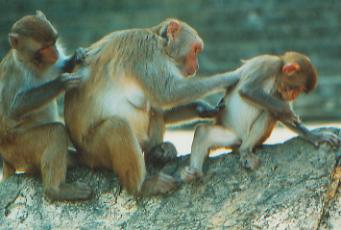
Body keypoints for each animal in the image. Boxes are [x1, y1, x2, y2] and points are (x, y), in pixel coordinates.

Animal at [0, 11, 91, 201]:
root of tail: (6, 159)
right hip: (19, 147)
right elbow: (13, 108)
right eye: (42, 49)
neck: (30, 63)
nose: (55, 52)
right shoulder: (15, 72)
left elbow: (60, 66)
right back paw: (56, 190)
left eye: (53, 42)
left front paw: (76, 56)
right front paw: (62, 82)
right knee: (56, 132)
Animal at [64, 18, 239, 197]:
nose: (196, 66)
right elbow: (168, 93)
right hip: (95, 151)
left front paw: (202, 108)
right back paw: (141, 186)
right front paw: (231, 76)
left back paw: (156, 153)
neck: (161, 44)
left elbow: (161, 103)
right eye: (195, 50)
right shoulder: (146, 51)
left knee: (154, 111)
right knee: (117, 126)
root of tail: (82, 155)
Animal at [182, 51, 338, 180]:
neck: (277, 72)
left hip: (238, 138)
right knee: (204, 132)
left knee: (269, 113)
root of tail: (240, 140)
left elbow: (279, 113)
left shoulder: (279, 90)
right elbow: (248, 90)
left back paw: (244, 150)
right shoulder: (269, 64)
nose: (293, 96)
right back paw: (196, 172)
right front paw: (287, 111)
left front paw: (315, 136)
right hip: (230, 134)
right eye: (297, 88)